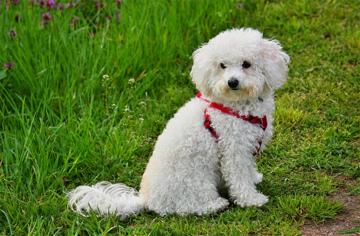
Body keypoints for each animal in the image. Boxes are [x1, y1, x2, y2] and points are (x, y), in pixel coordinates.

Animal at [69, 28, 292, 218]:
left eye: (246, 63)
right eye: (222, 65)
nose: (232, 82)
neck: (238, 105)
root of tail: (146, 199)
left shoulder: (248, 147)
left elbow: (248, 170)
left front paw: (255, 178)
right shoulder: (234, 150)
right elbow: (239, 179)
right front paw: (252, 200)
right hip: (197, 182)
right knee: (189, 207)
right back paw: (215, 205)